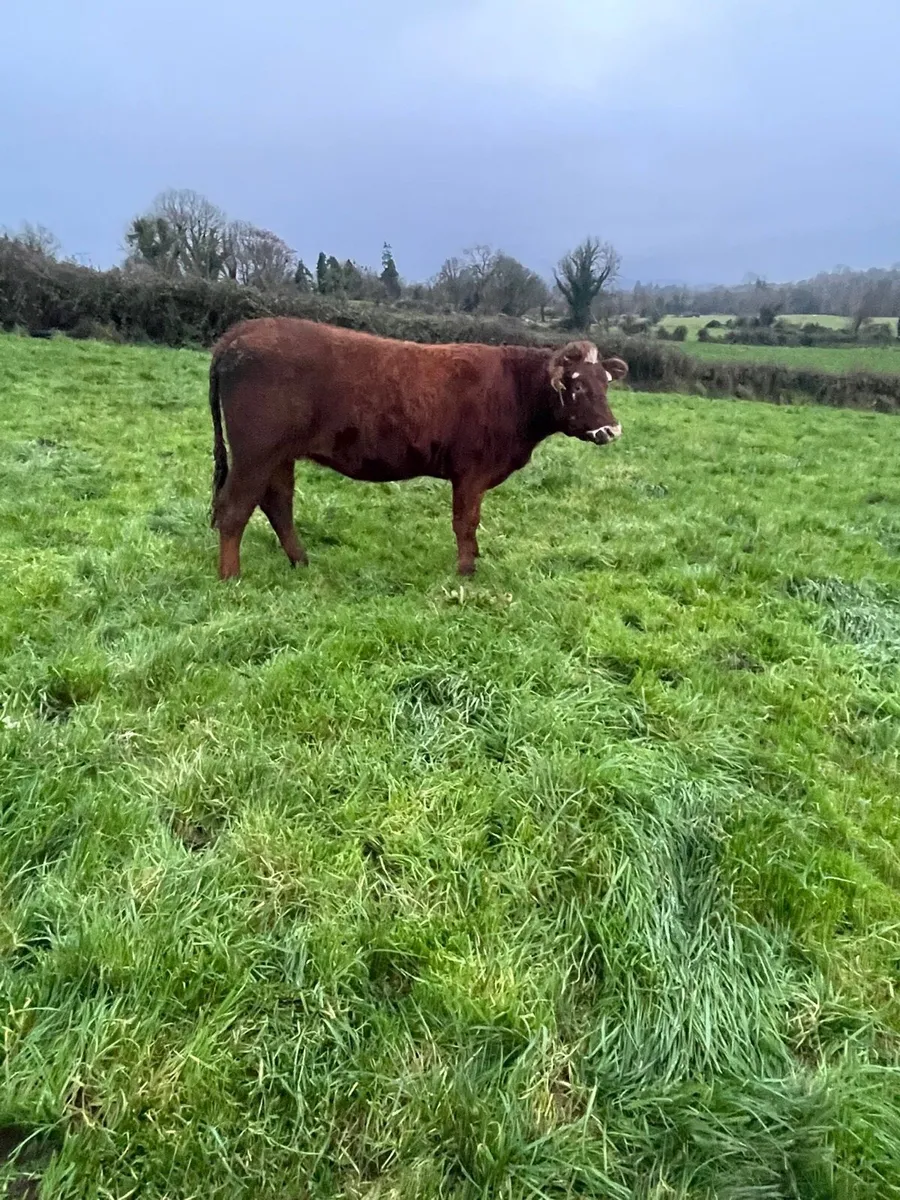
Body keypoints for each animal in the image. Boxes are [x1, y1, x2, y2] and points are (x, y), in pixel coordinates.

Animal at [208, 318, 628, 579]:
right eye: (577, 386)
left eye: (605, 383)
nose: (611, 429)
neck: (513, 389)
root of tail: (245, 329)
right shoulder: (470, 472)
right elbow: (465, 521)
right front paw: (466, 571)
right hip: (255, 453)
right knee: (234, 509)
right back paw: (231, 577)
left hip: (279, 455)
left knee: (277, 503)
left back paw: (302, 561)